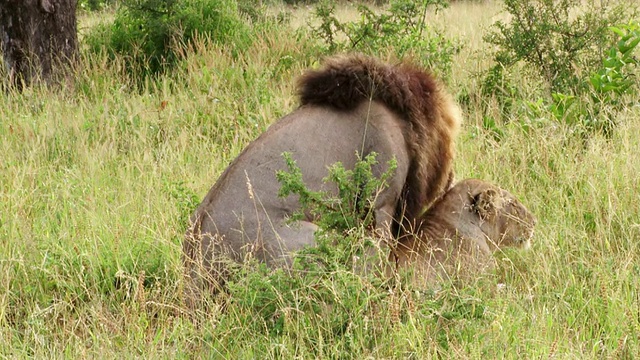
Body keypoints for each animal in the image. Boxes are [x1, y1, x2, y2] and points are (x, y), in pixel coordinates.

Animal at [182, 54, 462, 306]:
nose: (452, 178)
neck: (402, 120)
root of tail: (193, 274)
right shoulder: (379, 203)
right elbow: (377, 255)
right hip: (312, 239)